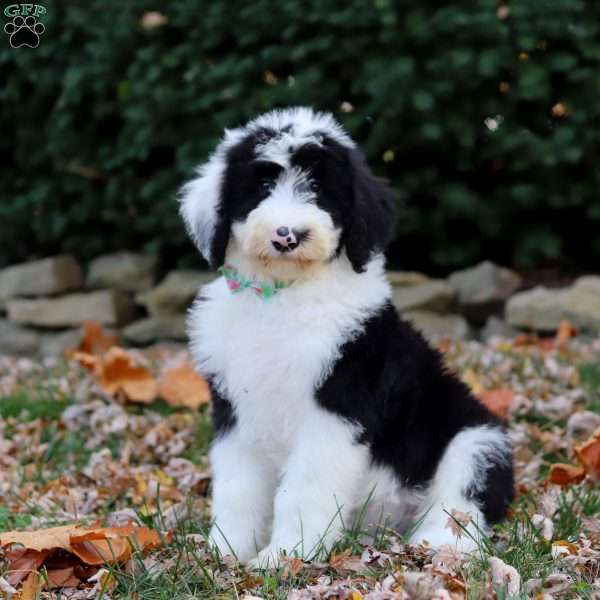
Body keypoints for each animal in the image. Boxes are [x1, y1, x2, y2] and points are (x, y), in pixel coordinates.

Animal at [177, 106, 510, 568]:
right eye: (261, 185)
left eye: (318, 188)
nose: (286, 235)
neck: (284, 295)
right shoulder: (235, 410)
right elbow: (237, 487)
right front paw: (223, 552)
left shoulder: (336, 408)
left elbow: (302, 490)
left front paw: (285, 555)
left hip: (474, 439)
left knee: (462, 500)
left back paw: (440, 544)